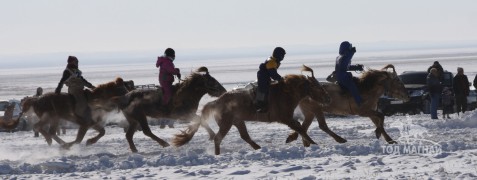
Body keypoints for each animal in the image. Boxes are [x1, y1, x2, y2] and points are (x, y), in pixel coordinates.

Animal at [171, 65, 330, 155]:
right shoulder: (285, 118)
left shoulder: (289, 119)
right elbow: (301, 129)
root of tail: (216, 101)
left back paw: (258, 148)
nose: (328, 98)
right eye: (316, 86)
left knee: (244, 136)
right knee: (218, 138)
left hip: (238, 121)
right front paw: (313, 144)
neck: (286, 92)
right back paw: (218, 155)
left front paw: (302, 141)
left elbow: (300, 128)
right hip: (226, 123)